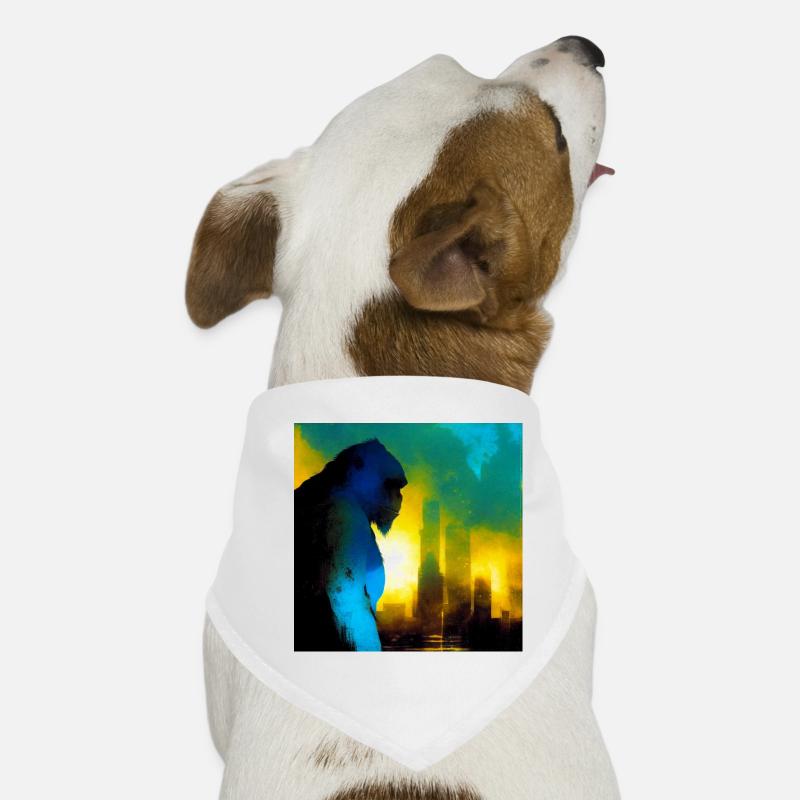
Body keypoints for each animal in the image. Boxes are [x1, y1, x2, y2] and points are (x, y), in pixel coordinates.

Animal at [294, 439, 407, 651]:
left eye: (399, 487)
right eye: (392, 485)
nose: (400, 496)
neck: (344, 488)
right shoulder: (347, 519)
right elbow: (351, 605)